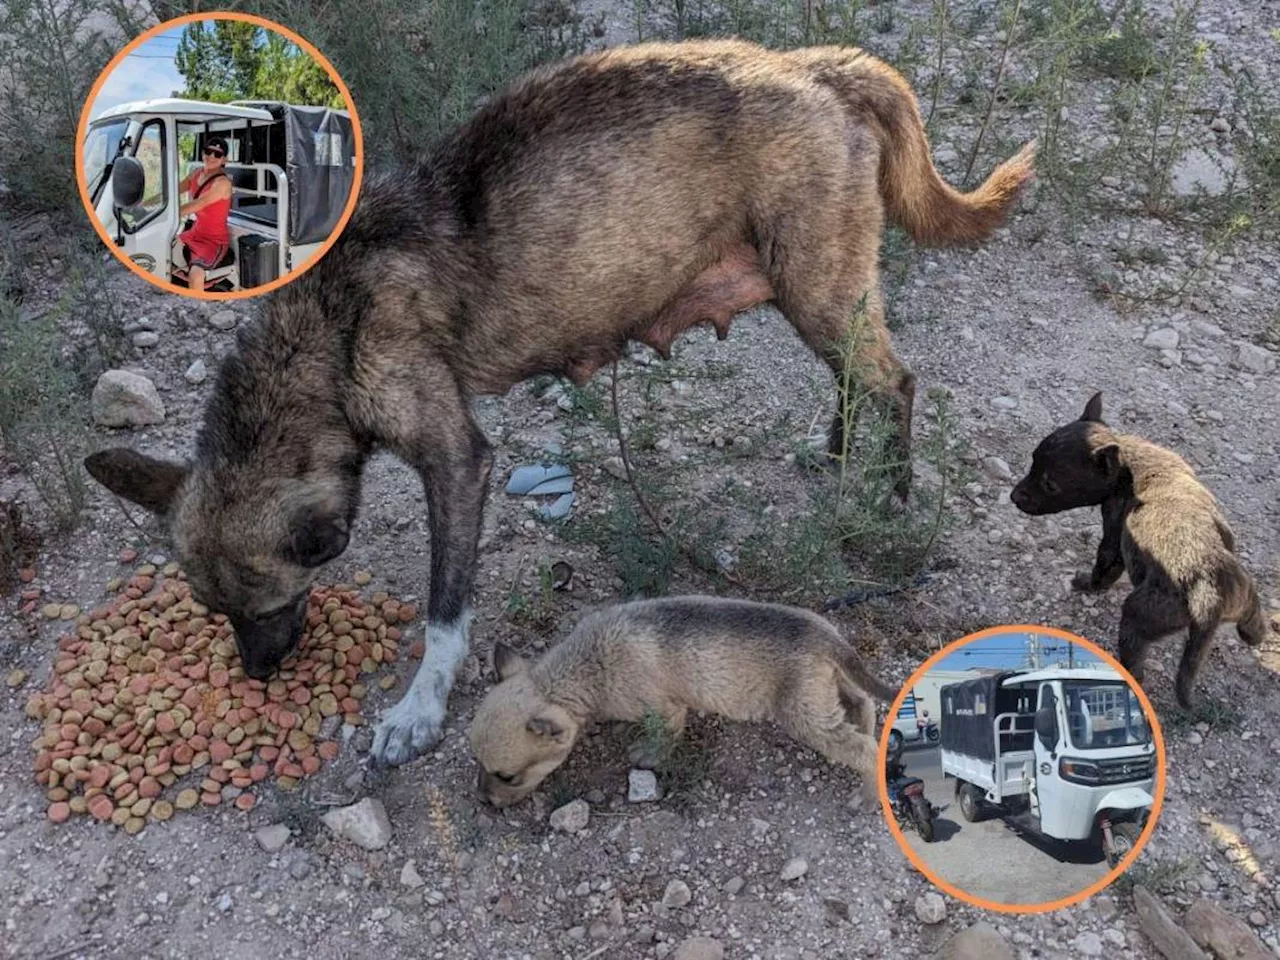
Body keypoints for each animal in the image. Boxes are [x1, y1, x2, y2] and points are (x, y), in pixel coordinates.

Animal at [80, 41, 1034, 773]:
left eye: (263, 606)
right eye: (215, 614)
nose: (257, 676)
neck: (322, 331)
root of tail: (817, 68)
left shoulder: (456, 459)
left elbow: (445, 609)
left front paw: (419, 709)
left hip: (821, 291)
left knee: (895, 383)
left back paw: (887, 495)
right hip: (815, 298)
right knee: (850, 383)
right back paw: (834, 460)